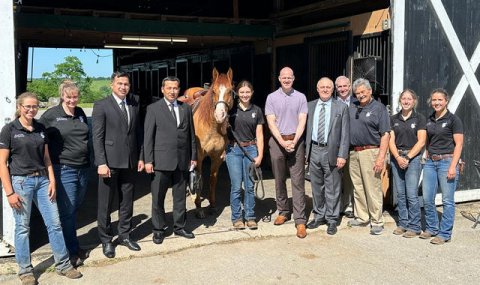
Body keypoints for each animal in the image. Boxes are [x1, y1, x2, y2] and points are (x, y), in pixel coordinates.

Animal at [183, 67, 233, 217]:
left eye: (230, 91)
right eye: (214, 91)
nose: (220, 115)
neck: (212, 126)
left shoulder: (217, 157)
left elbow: (212, 180)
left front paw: (212, 205)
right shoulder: (198, 157)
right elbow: (199, 179)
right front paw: (199, 208)